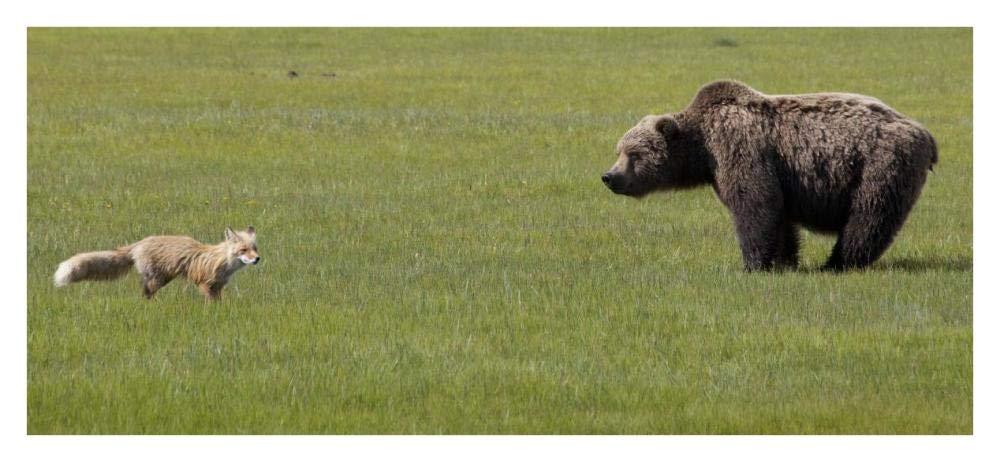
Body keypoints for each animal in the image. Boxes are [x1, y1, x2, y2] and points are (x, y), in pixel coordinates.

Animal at [54, 226, 260, 300]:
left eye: (255, 248)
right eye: (243, 250)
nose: (257, 259)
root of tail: (140, 242)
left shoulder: (218, 287)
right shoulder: (204, 284)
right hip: (158, 279)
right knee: (145, 293)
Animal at [602, 80, 938, 271]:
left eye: (634, 154)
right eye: (619, 149)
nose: (609, 176)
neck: (703, 149)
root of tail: (924, 133)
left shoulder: (742, 149)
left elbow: (755, 204)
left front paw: (752, 265)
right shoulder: (781, 175)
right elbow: (781, 219)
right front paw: (785, 261)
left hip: (879, 164)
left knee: (869, 216)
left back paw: (838, 262)